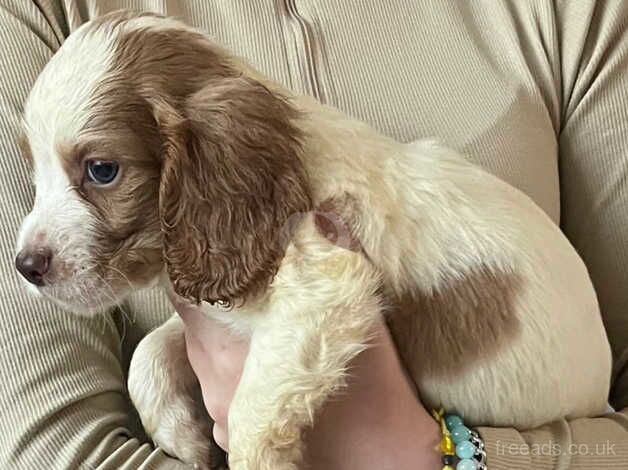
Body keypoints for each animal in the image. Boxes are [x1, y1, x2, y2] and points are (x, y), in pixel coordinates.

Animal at [15, 11, 612, 470]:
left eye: (102, 170)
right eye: (37, 172)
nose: (25, 266)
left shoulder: (325, 285)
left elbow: (251, 414)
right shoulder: (219, 306)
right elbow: (150, 350)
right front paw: (182, 434)